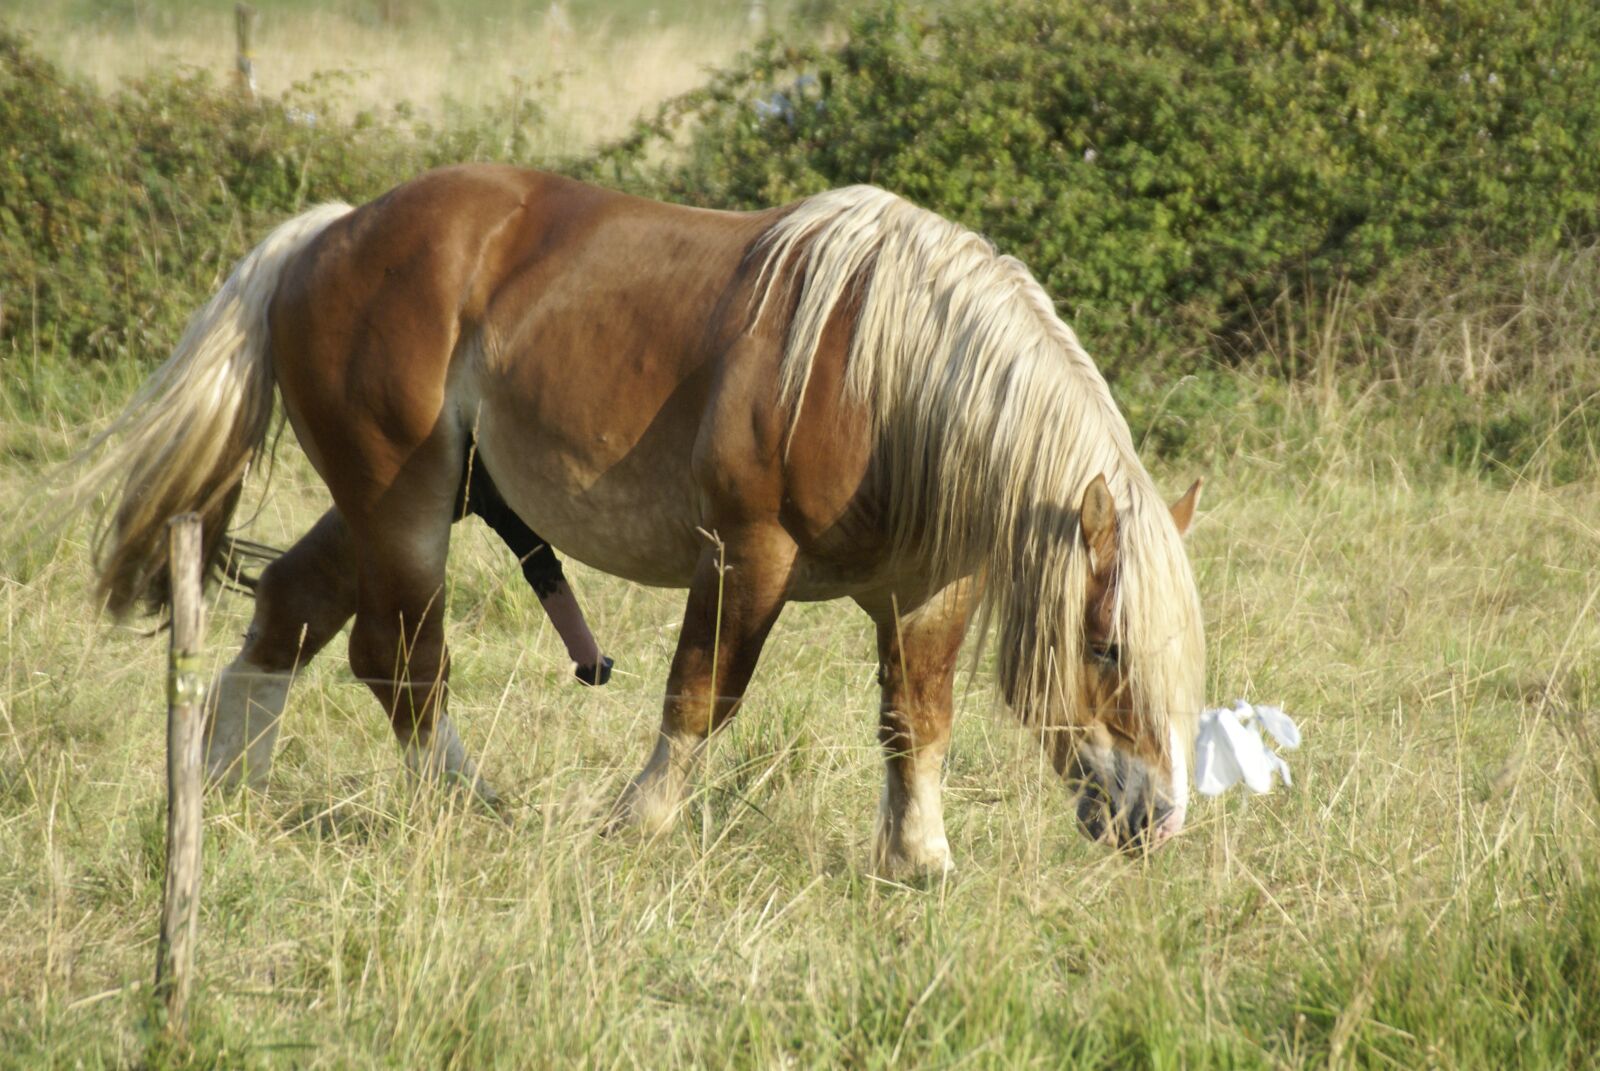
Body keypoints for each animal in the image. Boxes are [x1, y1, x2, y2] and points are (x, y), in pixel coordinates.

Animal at [61, 164, 1205, 875]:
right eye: (1105, 647)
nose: (1157, 819)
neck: (883, 378)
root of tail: (328, 235)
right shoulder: (746, 555)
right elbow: (702, 695)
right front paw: (639, 823)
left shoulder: (928, 590)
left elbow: (915, 720)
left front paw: (919, 859)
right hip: (403, 505)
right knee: (402, 660)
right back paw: (464, 805)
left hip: (392, 503)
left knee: (295, 611)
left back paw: (225, 791)